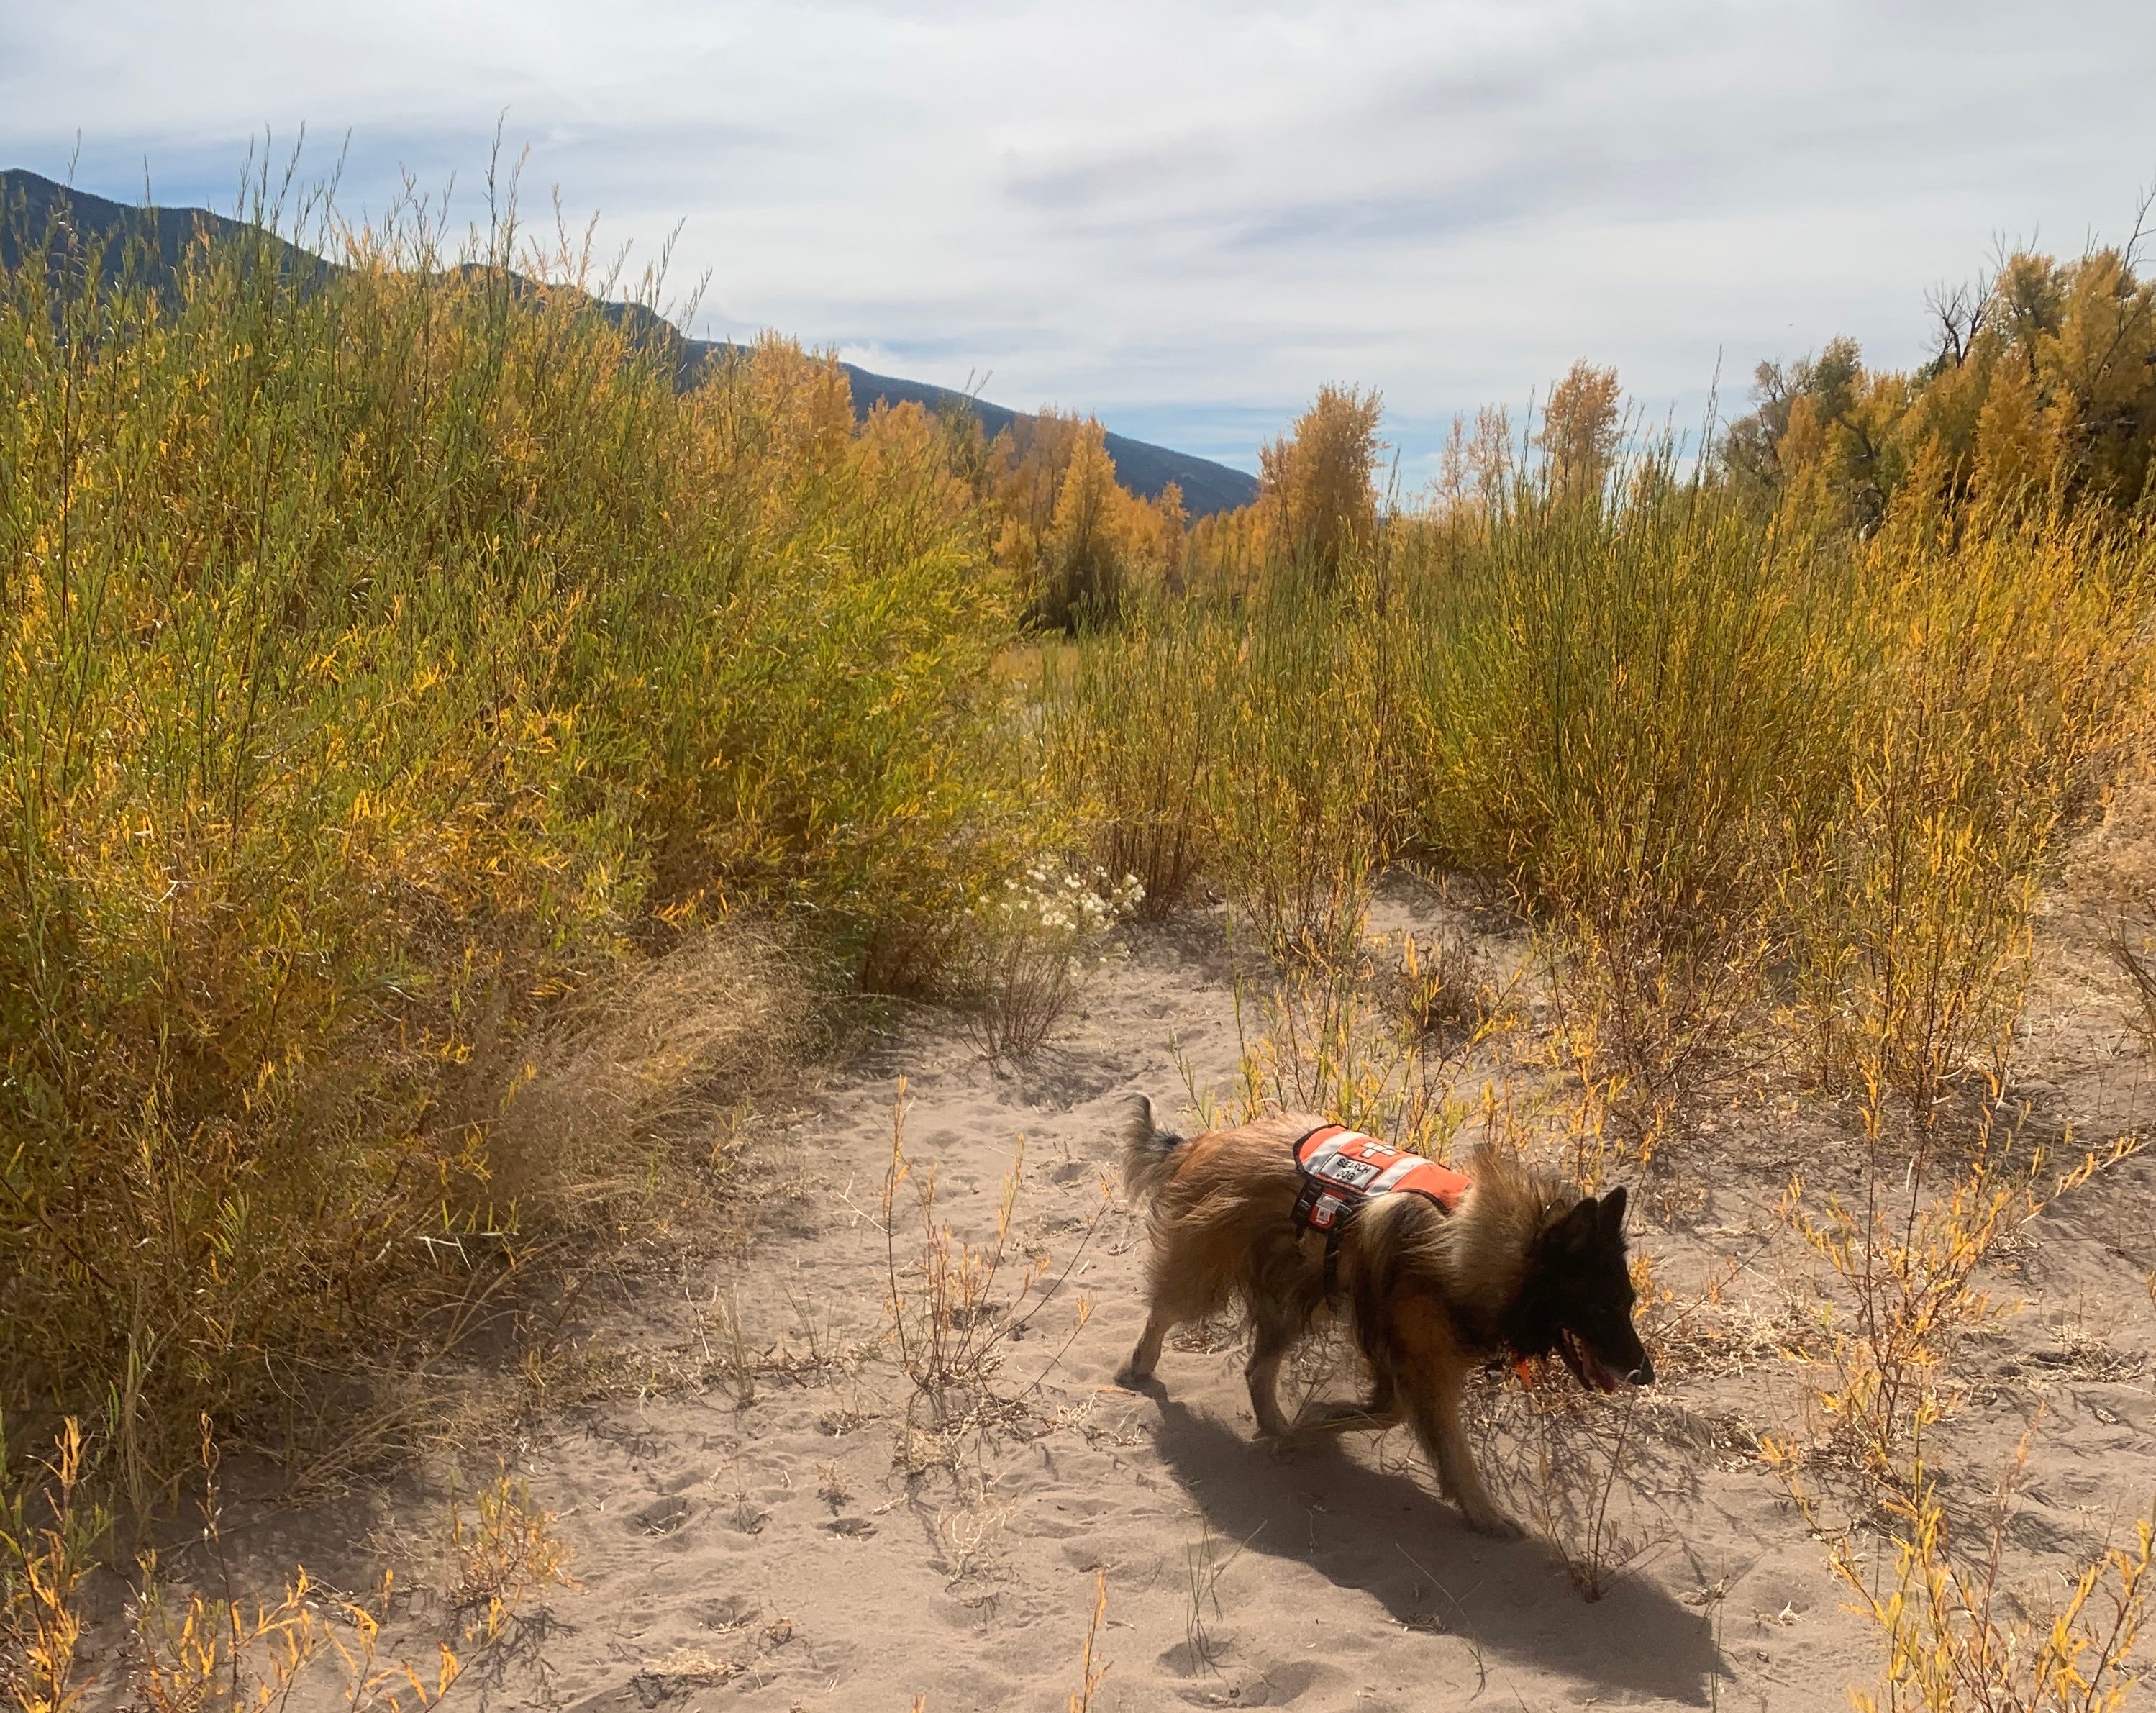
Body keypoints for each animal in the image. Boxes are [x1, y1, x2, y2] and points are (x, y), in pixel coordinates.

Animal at [1112, 1096, 1647, 1536]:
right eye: (1603, 1305)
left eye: (1628, 1302)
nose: (1646, 1373)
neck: (1493, 1247)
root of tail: (1208, 1139)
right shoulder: (1414, 1359)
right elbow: (1430, 1436)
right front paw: (1484, 1514)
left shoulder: (1408, 1357)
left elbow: (1388, 1415)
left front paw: (1310, 1428)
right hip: (1213, 1274)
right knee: (1165, 1310)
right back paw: (1139, 1364)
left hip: (1297, 1296)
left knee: (1257, 1368)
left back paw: (1277, 1425)